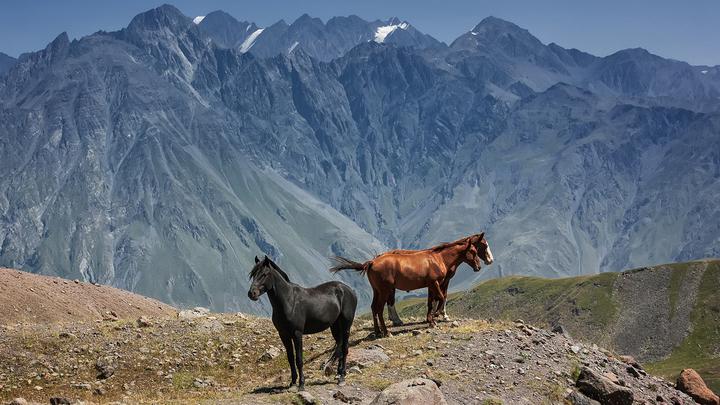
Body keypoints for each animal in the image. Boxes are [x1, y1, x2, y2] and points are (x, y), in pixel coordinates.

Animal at [249, 254, 358, 390]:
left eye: (264, 274)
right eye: (253, 274)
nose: (251, 293)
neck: (289, 301)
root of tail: (350, 291)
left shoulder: (297, 333)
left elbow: (299, 359)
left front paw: (301, 383)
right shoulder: (283, 334)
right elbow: (290, 358)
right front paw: (292, 382)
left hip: (346, 325)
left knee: (344, 348)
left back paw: (342, 376)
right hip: (335, 326)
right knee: (340, 345)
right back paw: (337, 373)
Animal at [330, 232, 492, 336]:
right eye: (475, 249)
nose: (480, 266)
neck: (438, 258)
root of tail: (372, 261)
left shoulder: (432, 285)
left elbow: (432, 301)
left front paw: (431, 320)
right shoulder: (436, 283)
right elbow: (441, 297)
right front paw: (437, 315)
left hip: (377, 291)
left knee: (374, 308)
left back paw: (378, 331)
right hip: (385, 290)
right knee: (380, 308)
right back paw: (387, 331)